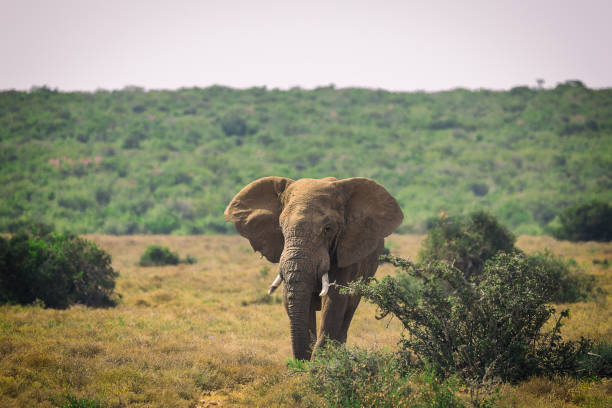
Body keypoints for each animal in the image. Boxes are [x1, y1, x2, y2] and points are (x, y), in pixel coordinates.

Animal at [224, 176, 402, 360]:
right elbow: (292, 299)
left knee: (349, 310)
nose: (302, 361)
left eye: (328, 229)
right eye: (280, 227)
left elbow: (334, 301)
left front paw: (320, 362)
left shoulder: (347, 251)